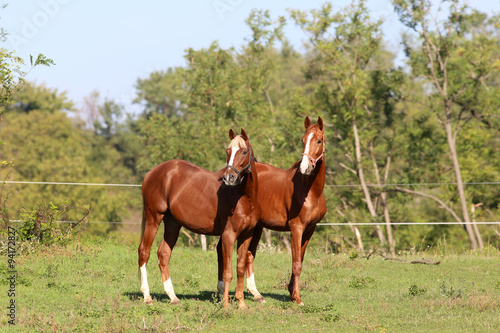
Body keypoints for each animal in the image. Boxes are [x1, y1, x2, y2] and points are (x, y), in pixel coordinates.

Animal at [139, 128, 260, 308]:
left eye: (244, 151)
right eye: (228, 151)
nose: (229, 178)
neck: (243, 197)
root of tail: (150, 174)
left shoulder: (246, 235)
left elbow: (240, 268)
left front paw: (241, 303)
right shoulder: (229, 235)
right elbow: (228, 272)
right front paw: (225, 304)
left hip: (172, 224)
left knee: (163, 254)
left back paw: (173, 297)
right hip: (153, 218)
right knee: (144, 252)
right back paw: (147, 296)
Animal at [216, 115, 326, 304]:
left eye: (318, 140)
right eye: (303, 140)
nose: (305, 168)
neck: (311, 191)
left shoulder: (309, 229)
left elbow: (300, 259)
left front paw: (292, 292)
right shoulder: (296, 228)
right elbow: (296, 264)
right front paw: (297, 298)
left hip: (257, 226)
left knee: (249, 255)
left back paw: (256, 294)